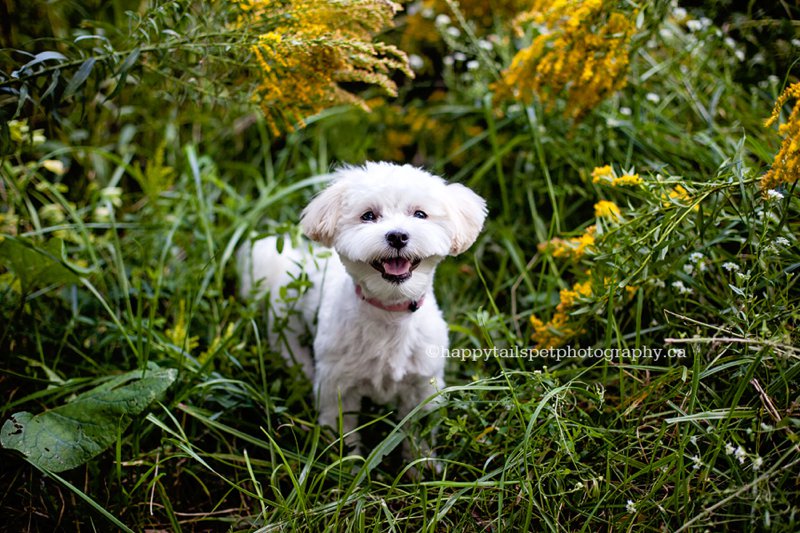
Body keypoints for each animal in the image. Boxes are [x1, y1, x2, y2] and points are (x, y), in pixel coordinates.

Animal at [236, 161, 488, 448]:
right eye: (368, 216)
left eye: (420, 214)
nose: (398, 236)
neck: (389, 313)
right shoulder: (338, 388)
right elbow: (342, 434)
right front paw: (347, 457)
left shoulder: (423, 387)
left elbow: (417, 435)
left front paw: (421, 459)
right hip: (286, 333)